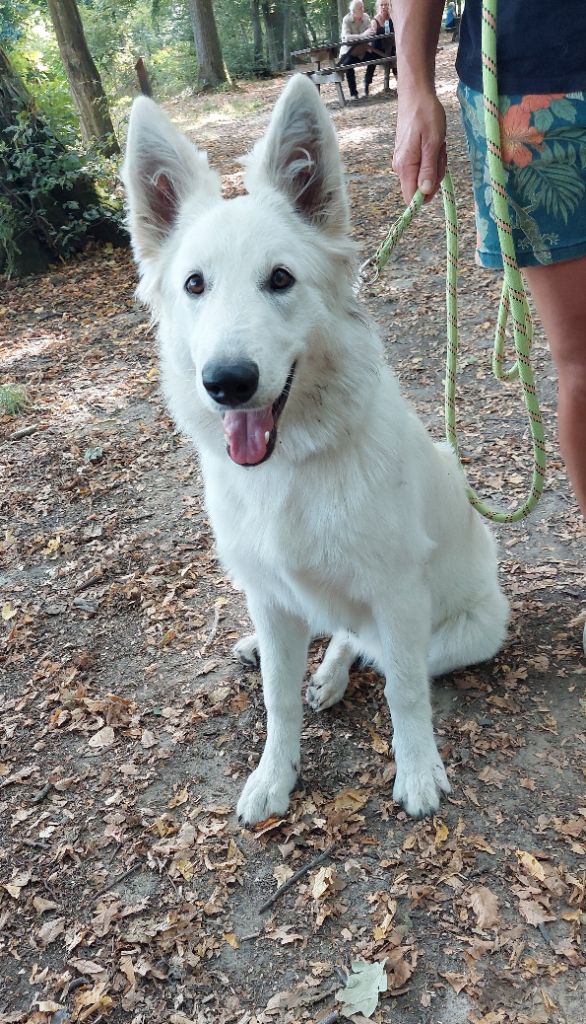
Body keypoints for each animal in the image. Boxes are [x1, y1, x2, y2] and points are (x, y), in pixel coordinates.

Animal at [122, 74, 508, 823]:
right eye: (194, 285)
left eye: (280, 279)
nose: (228, 383)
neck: (291, 468)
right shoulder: (271, 596)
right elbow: (277, 700)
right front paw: (276, 776)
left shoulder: (397, 593)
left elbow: (403, 693)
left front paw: (418, 771)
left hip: (463, 631)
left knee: (374, 651)